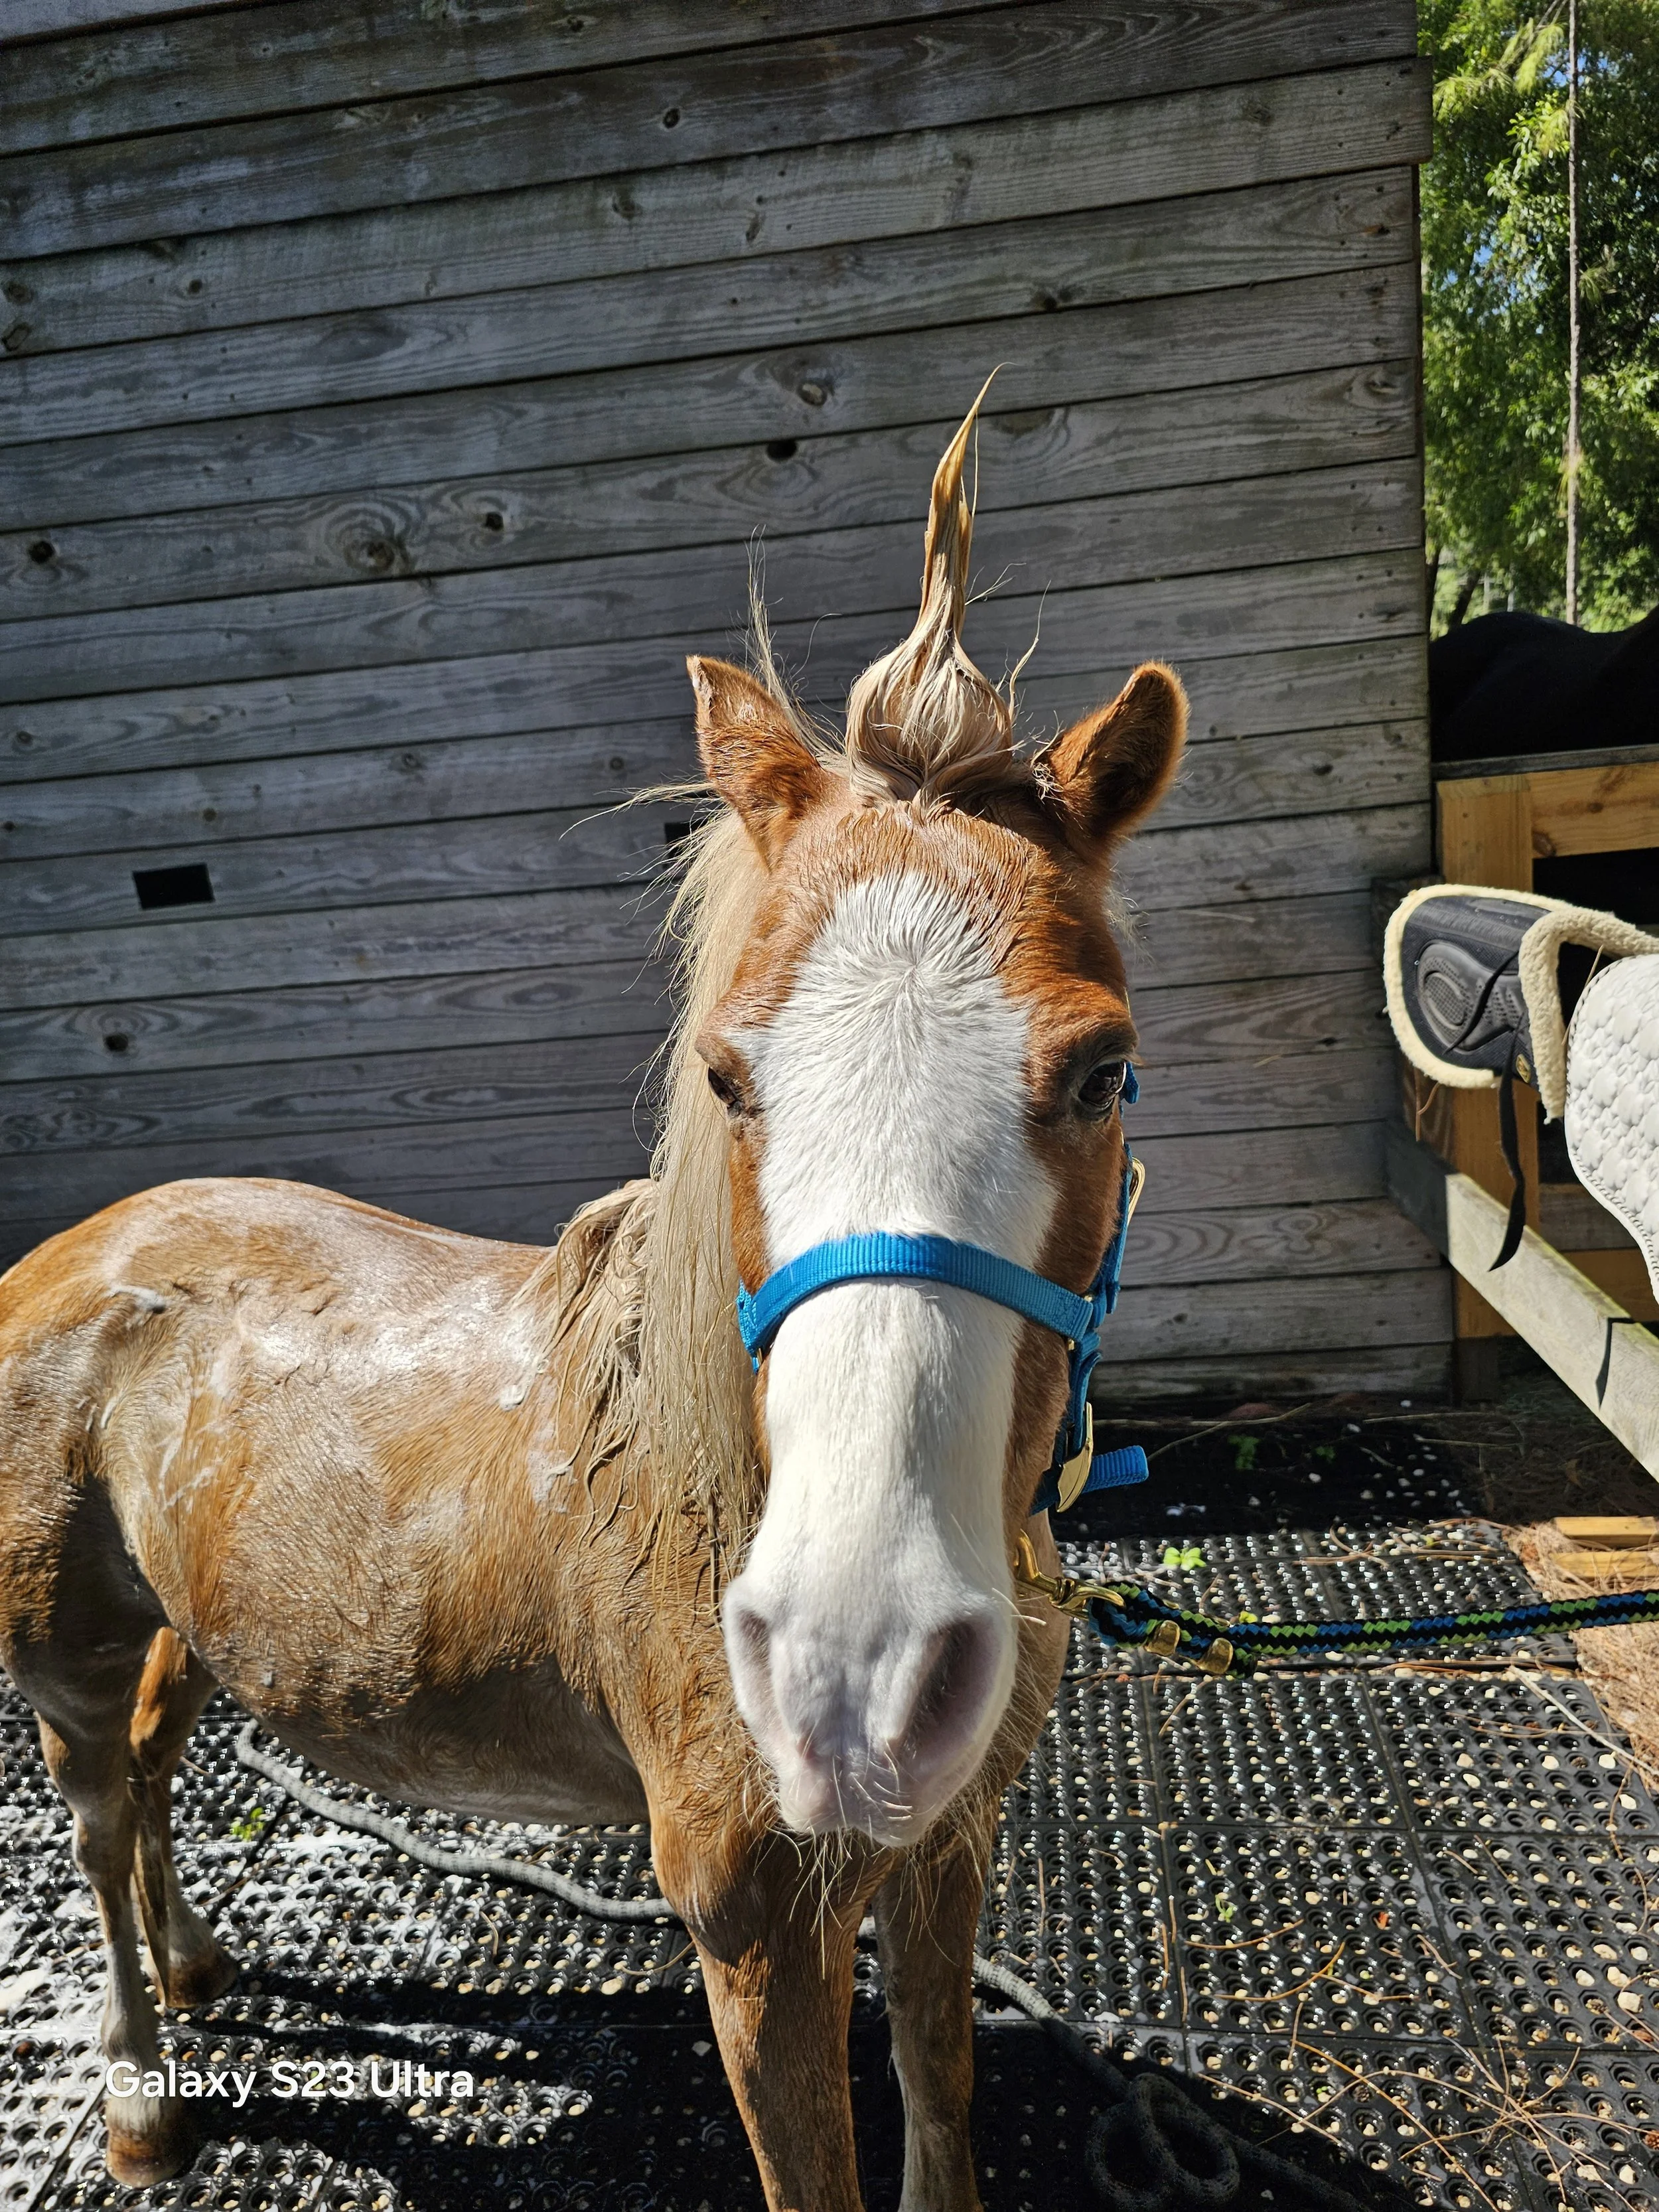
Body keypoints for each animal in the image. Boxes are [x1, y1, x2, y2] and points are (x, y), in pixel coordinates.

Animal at [0, 389, 1184, 2211]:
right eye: (726, 1074)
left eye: (1105, 1071)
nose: (855, 1663)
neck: (718, 1476)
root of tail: (74, 1252)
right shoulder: (758, 1942)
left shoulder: (944, 1854)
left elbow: (942, 2096)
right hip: (57, 1653)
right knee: (94, 1813)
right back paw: (140, 2087)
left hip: (180, 1621)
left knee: (150, 1767)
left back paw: (201, 1966)